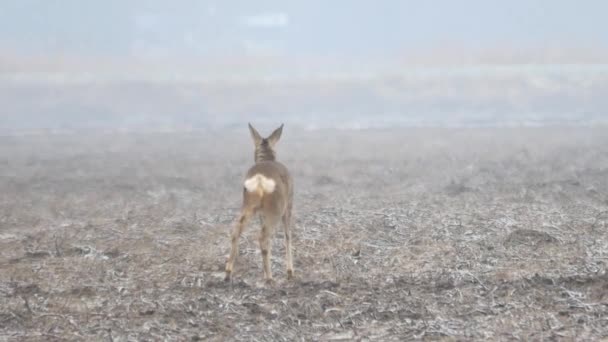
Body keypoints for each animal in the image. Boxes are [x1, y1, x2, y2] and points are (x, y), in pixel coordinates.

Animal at [227, 124, 296, 282]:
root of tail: (259, 178)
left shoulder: (261, 214)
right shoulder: (288, 207)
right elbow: (287, 235)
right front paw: (290, 272)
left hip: (249, 207)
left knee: (236, 230)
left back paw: (228, 273)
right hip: (276, 211)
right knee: (263, 236)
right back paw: (270, 279)